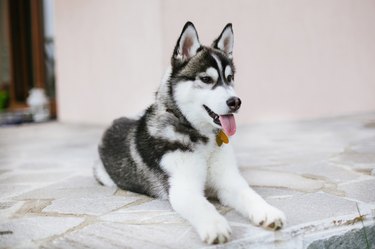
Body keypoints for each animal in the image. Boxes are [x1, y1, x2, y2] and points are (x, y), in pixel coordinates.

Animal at [95, 22, 286, 244]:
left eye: (230, 78)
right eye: (206, 79)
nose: (235, 102)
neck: (201, 136)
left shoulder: (229, 181)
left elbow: (249, 194)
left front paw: (267, 211)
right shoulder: (184, 189)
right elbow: (202, 206)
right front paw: (215, 225)